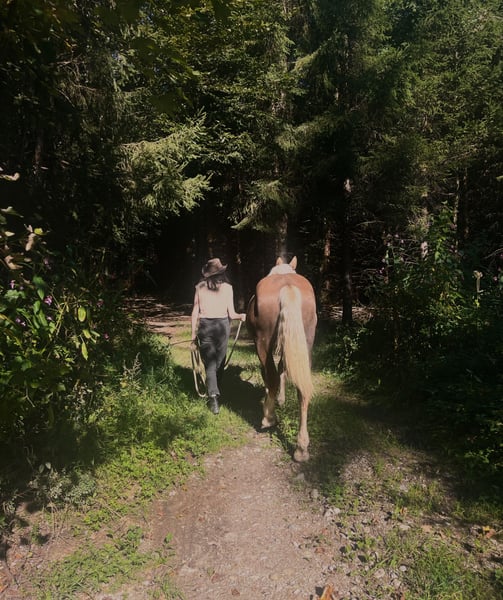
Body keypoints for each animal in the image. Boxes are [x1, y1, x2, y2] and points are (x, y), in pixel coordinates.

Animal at [246, 257, 317, 461]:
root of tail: (288, 286)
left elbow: (270, 374)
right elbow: (282, 369)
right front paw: (281, 399)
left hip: (262, 343)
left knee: (270, 375)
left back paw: (269, 418)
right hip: (306, 344)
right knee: (302, 390)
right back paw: (301, 448)